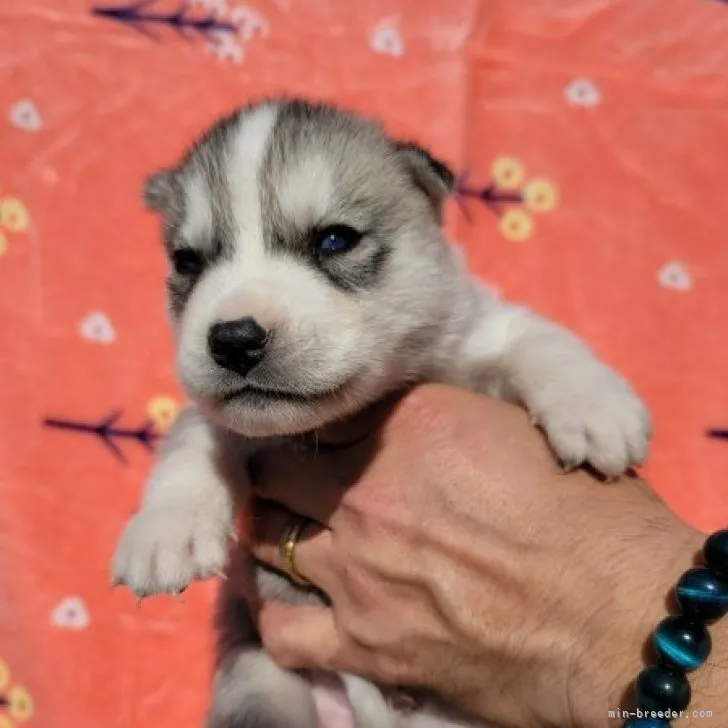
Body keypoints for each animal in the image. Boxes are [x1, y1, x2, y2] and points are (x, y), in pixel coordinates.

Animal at [112, 98, 648, 728]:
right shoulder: (222, 417)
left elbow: (536, 339)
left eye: (334, 240)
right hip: (259, 680)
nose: (234, 339)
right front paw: (164, 531)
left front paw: (595, 405)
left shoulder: (473, 335)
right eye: (188, 261)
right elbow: (193, 441)